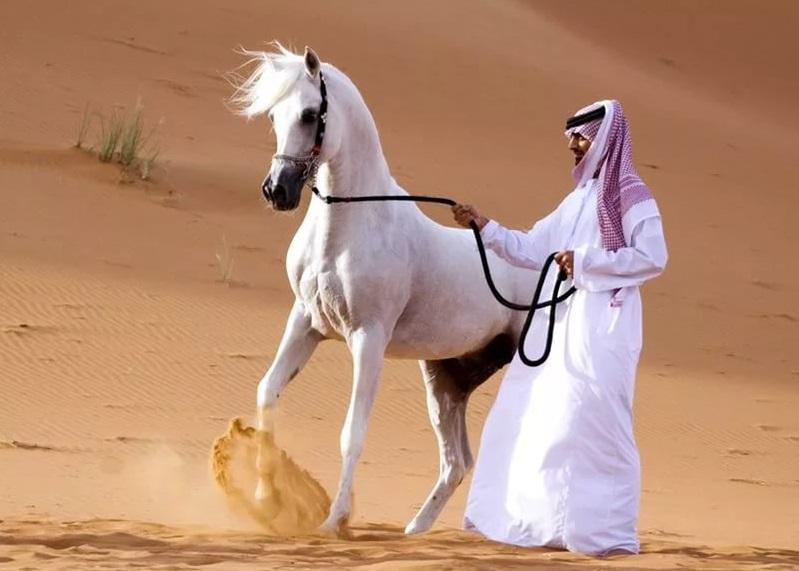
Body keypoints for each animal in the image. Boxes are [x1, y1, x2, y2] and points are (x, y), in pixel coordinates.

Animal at [233, 43, 539, 537]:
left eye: (309, 114)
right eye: (274, 116)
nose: (276, 191)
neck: (346, 230)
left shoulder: (368, 338)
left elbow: (352, 433)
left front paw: (334, 521)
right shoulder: (306, 322)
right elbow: (267, 393)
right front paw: (266, 500)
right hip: (446, 382)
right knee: (456, 462)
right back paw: (415, 531)